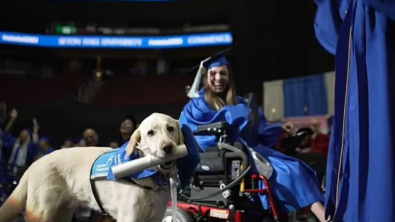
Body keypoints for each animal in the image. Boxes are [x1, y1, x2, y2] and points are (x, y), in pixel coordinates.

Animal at [0, 112, 184, 222]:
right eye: (150, 133)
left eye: (170, 128)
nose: (168, 147)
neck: (151, 176)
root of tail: (35, 163)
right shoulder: (129, 217)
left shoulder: (156, 217)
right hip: (41, 213)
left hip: (62, 214)